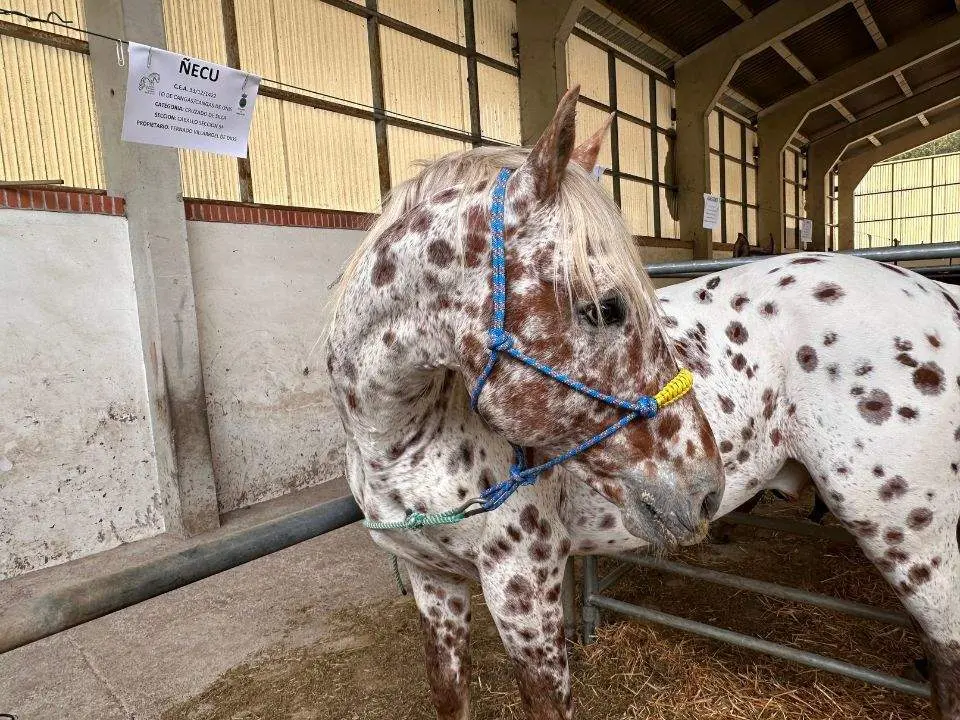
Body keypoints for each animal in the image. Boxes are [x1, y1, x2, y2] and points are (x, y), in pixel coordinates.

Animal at [325, 87, 725, 719]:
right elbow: (450, 694)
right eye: (605, 308)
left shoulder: (524, 597)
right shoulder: (431, 582)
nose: (707, 490)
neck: (397, 443)